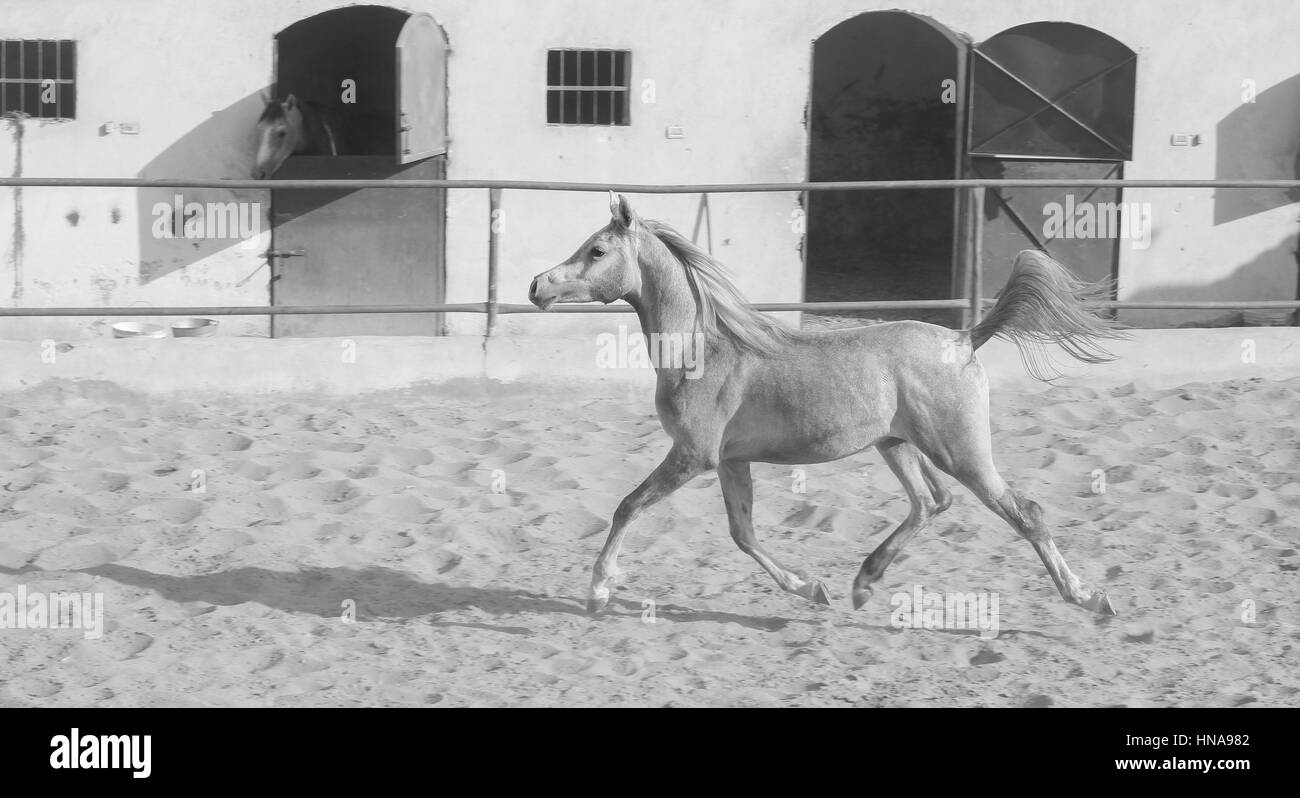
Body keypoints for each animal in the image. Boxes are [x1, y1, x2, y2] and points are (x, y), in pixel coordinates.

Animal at [529, 193, 1128, 618]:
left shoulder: (692, 457)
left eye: (597, 251)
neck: (703, 350)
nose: (537, 285)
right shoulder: (731, 462)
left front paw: (599, 590)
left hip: (962, 454)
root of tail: (964, 340)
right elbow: (743, 534)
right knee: (930, 502)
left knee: (1024, 512)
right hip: (897, 445)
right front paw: (811, 588)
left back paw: (1090, 598)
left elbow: (627, 506)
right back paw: (864, 583)